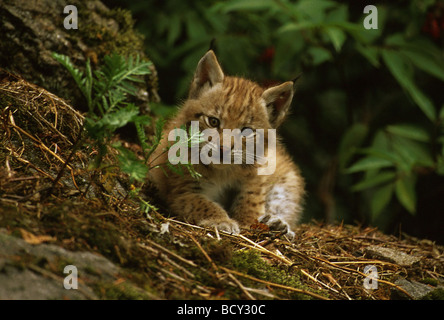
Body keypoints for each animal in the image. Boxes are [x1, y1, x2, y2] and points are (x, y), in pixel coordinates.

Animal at [149, 50, 306, 238]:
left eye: (246, 131)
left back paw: (278, 223)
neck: (222, 172)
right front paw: (222, 221)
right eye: (213, 122)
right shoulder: (180, 190)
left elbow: (251, 199)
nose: (223, 149)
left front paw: (249, 221)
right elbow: (204, 203)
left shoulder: (257, 176)